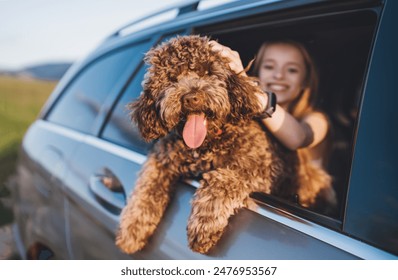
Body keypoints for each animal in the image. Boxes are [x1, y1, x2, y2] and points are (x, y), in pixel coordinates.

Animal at [115, 34, 336, 254]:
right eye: (172, 78)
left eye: (207, 71)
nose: (191, 98)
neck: (207, 143)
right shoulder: (162, 158)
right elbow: (147, 187)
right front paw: (132, 229)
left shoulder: (261, 166)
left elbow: (221, 180)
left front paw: (204, 225)